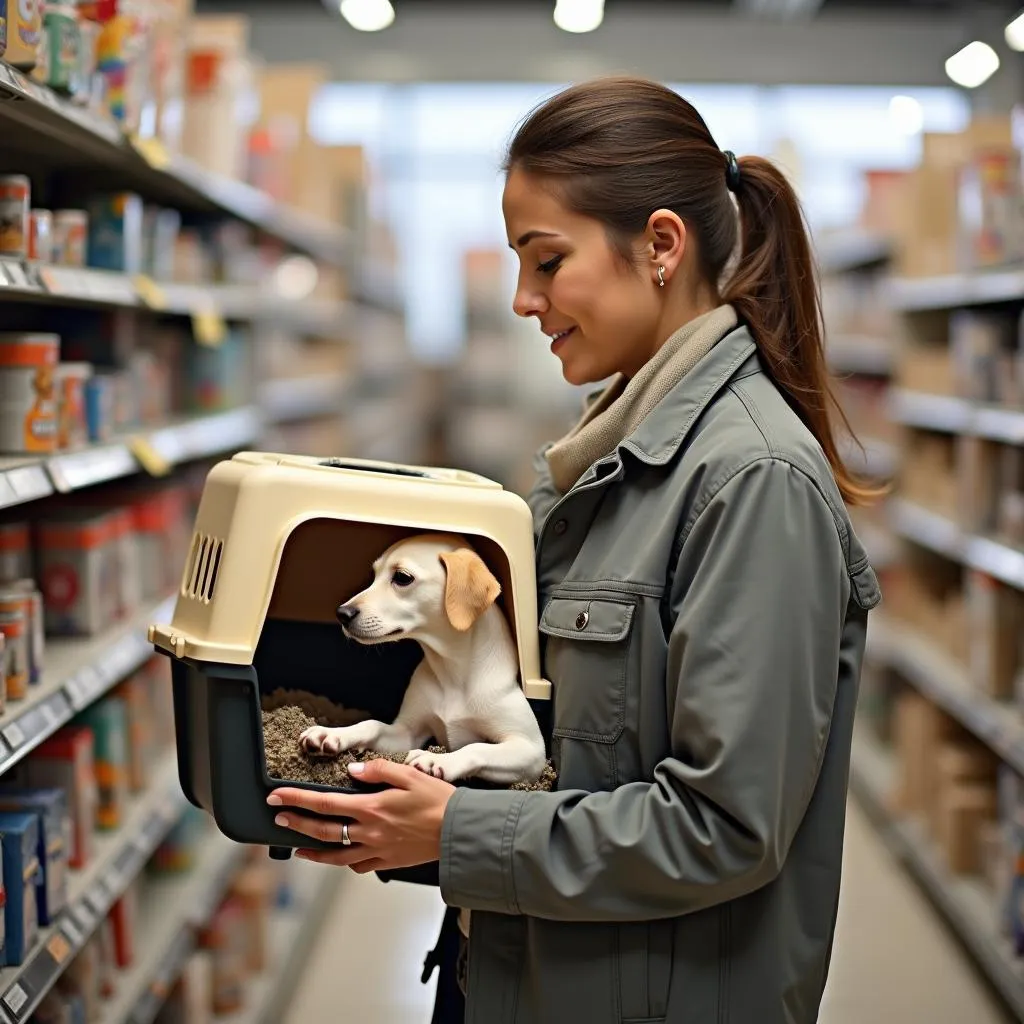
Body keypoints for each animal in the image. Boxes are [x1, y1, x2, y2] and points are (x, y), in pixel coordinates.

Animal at [299, 536, 548, 782]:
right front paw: (333, 734)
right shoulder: (406, 734)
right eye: (374, 575)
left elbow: (477, 747)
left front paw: (437, 759)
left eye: (402, 577)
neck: (452, 670)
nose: (342, 613)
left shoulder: (531, 749)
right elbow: (372, 724)